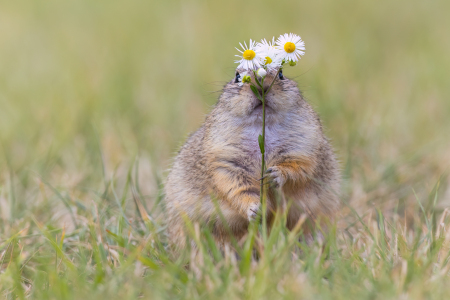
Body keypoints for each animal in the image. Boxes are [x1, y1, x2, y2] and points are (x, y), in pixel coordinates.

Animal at [163, 67, 340, 251]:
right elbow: (235, 186)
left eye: (281, 74)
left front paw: (276, 175)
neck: (262, 128)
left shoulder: (304, 146)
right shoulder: (224, 158)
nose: (261, 85)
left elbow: (300, 169)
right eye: (237, 76)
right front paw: (255, 209)